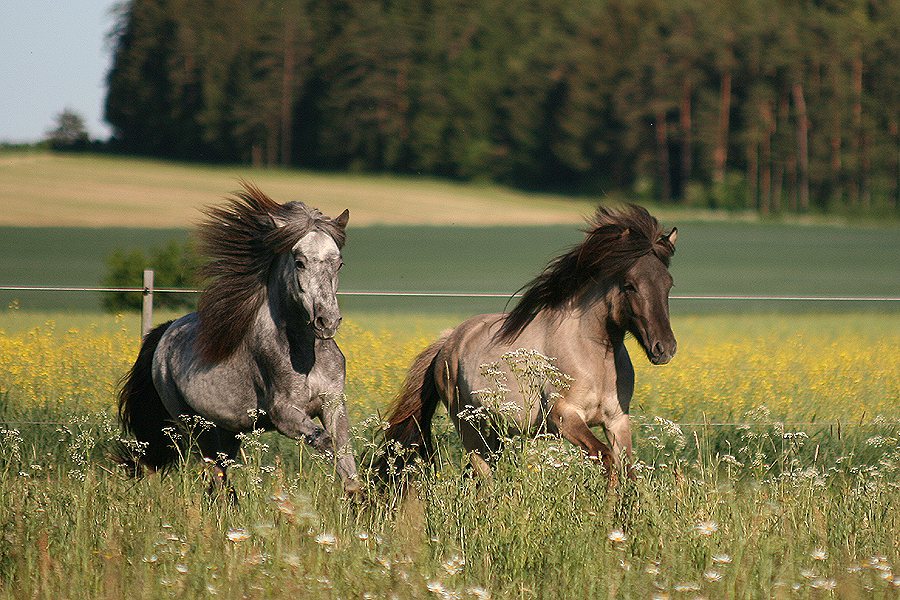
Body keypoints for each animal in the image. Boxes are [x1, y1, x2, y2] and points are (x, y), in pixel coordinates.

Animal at [118, 185, 360, 494]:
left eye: (339, 263)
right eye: (299, 263)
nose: (327, 322)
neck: (305, 354)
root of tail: (166, 332)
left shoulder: (334, 404)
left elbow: (346, 456)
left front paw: (359, 500)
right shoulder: (284, 414)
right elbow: (326, 442)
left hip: (229, 429)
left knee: (222, 473)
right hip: (197, 426)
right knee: (216, 476)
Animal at [376, 204, 680, 480]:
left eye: (668, 283)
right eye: (630, 284)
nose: (664, 348)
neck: (595, 359)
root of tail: (449, 341)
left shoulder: (617, 421)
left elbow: (628, 471)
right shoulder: (565, 418)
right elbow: (606, 459)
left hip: (495, 433)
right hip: (473, 431)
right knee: (484, 477)